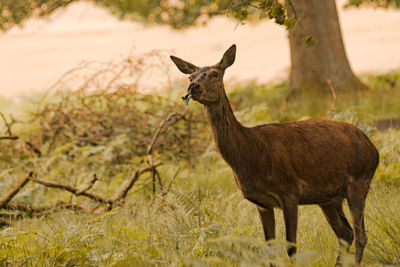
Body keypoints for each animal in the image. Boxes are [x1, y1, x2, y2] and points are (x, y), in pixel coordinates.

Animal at [170, 44, 380, 266]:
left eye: (215, 74)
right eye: (190, 76)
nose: (193, 87)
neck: (251, 153)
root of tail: (373, 149)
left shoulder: (290, 192)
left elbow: (291, 248)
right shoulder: (261, 203)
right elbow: (269, 248)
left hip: (359, 180)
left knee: (360, 235)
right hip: (329, 197)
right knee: (345, 233)